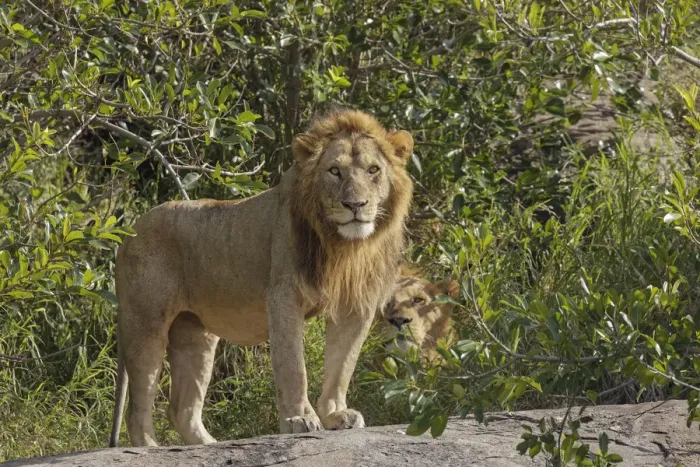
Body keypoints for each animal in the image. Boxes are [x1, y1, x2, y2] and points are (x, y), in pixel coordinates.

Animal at [109, 109, 414, 447]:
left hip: (194, 335)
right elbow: (293, 365)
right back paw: (151, 447)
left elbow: (342, 366)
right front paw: (299, 419)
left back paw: (211, 445)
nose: (356, 205)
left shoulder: (355, 305)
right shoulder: (284, 296)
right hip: (146, 323)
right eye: (334, 171)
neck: (343, 247)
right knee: (138, 405)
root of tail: (127, 234)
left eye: (374, 170)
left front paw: (336, 415)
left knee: (182, 409)